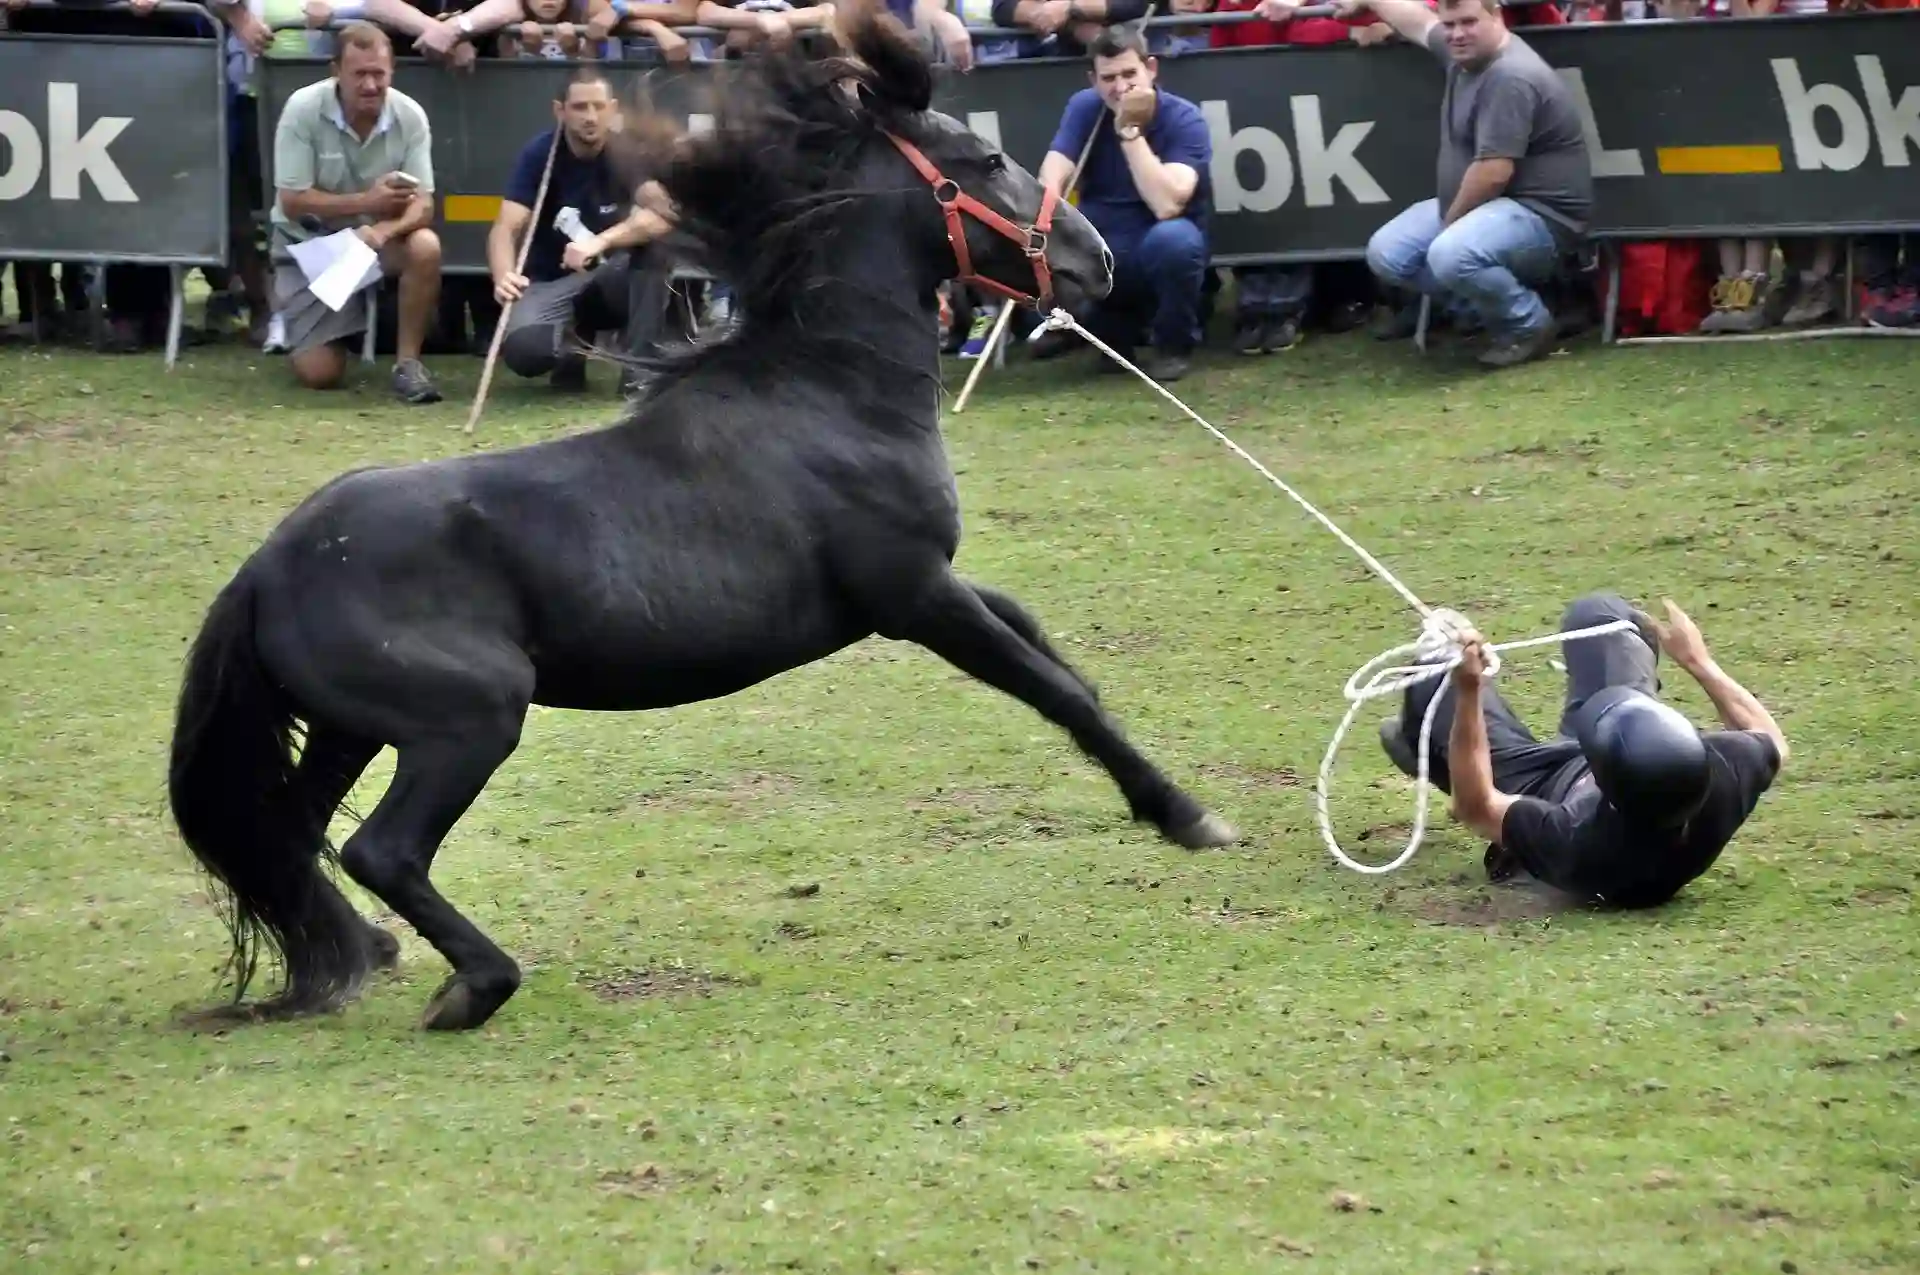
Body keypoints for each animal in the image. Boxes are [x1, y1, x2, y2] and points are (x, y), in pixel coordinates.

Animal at [172, 14, 1236, 1029]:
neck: (830, 394)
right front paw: (1190, 816)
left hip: (352, 727)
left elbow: (1051, 652)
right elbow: (1055, 693)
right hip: (469, 719)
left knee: (291, 832)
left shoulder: (933, 583)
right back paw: (473, 983)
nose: (1098, 261)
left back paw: (369, 952)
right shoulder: (914, 597)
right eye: (982, 161)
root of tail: (266, 568)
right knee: (380, 849)